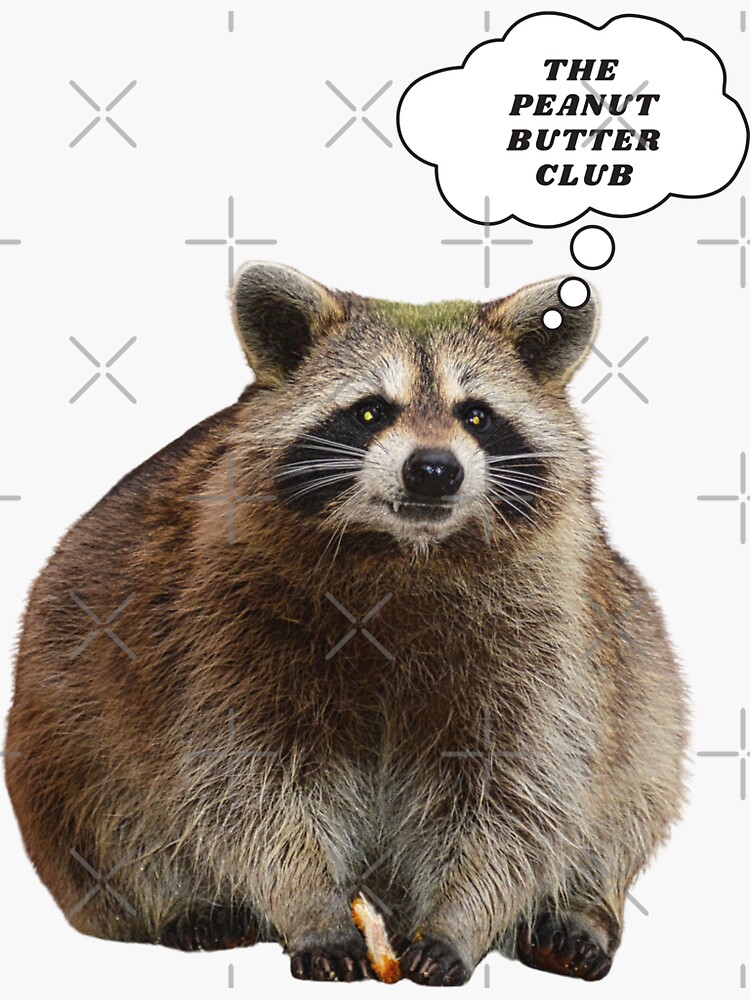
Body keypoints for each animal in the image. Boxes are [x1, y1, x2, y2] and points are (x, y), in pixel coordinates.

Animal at [5, 263, 687, 986]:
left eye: (476, 415)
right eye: (369, 411)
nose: (434, 470)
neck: (406, 553)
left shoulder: (553, 640)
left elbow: (523, 792)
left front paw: (459, 919)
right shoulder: (222, 628)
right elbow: (248, 784)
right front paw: (311, 904)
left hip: (640, 665)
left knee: (636, 779)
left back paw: (583, 907)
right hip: (60, 730)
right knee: (107, 815)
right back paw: (182, 902)